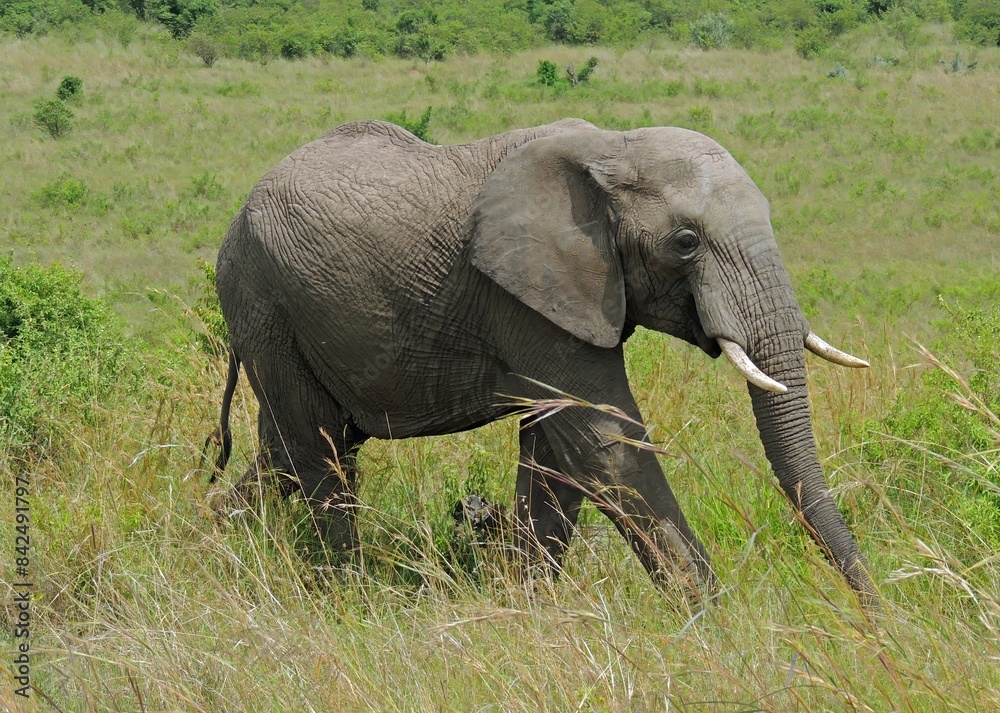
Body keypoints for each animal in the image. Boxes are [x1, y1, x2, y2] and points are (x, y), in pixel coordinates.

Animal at [208, 117, 876, 605]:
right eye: (685, 243)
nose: (876, 613)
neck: (611, 146)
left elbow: (558, 450)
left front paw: (530, 603)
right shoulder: (519, 295)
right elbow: (606, 443)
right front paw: (714, 618)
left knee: (293, 451)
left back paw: (216, 537)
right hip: (264, 301)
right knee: (318, 449)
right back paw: (347, 593)